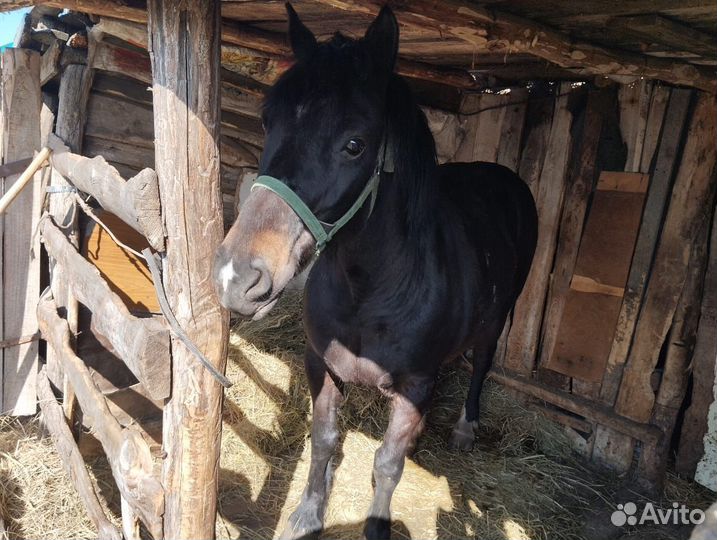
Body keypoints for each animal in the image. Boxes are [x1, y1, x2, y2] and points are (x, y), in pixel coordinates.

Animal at [213, 5, 538, 539]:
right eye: (266, 120)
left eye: (354, 144)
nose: (236, 277)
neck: (370, 292)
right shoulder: (320, 364)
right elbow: (324, 439)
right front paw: (307, 516)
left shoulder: (415, 385)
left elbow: (388, 464)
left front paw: (377, 525)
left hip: (499, 317)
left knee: (481, 365)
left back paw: (465, 427)